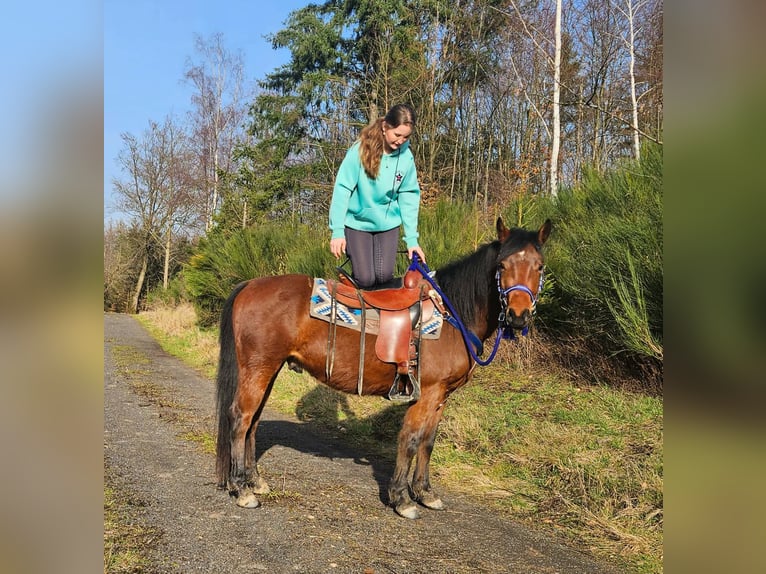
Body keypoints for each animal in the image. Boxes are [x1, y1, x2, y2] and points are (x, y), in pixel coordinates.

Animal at [215, 217, 551, 519]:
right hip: (258, 369)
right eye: (502, 266)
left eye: (539, 266)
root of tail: (250, 284)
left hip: (268, 371)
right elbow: (411, 440)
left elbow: (428, 442)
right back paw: (242, 489)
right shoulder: (427, 393)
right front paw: (402, 498)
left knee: (254, 421)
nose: (519, 315)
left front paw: (425, 493)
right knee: (241, 419)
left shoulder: (441, 397)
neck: (452, 314)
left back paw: (255, 481)